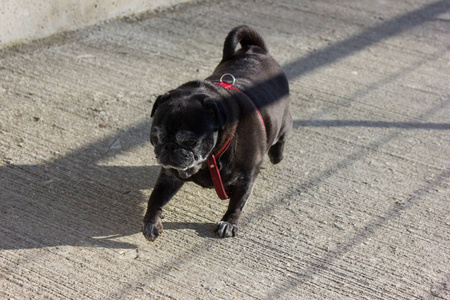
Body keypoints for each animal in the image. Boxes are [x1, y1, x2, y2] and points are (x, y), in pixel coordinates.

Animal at [142, 25, 294, 241]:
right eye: (156, 138)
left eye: (190, 142)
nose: (169, 148)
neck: (211, 158)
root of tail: (256, 50)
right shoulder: (169, 175)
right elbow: (156, 196)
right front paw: (151, 221)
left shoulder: (246, 177)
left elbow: (237, 202)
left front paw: (229, 222)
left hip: (283, 121)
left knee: (283, 135)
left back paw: (276, 154)